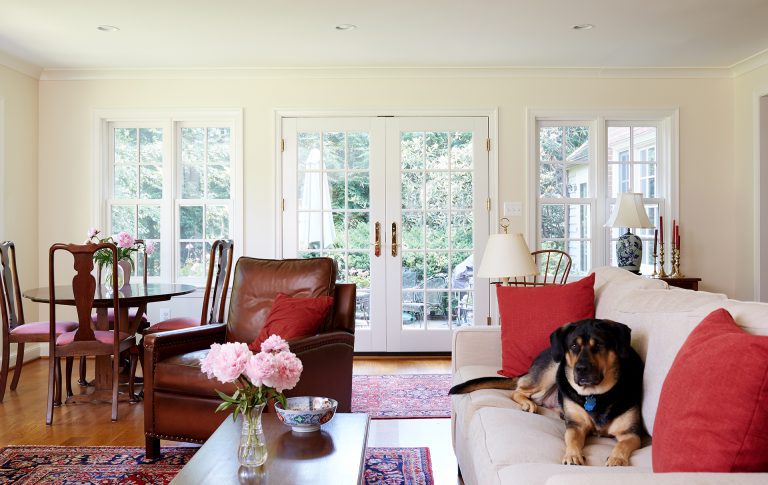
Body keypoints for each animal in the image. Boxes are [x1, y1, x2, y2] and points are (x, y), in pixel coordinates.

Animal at [448, 318, 644, 466]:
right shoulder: (576, 426)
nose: (580, 369)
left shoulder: (632, 434)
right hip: (552, 370)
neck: (594, 395)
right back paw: (528, 403)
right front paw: (572, 455)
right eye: (574, 346)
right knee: (518, 390)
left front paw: (617, 459)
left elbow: (622, 446)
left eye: (600, 345)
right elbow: (572, 439)